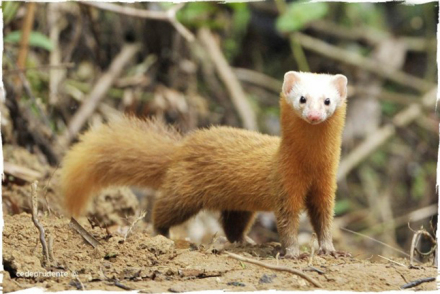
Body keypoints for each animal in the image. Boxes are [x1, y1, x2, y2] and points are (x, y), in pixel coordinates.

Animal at [61, 71, 348, 258]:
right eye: (302, 98)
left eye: (327, 100)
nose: (314, 115)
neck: (310, 167)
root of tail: (181, 147)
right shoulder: (285, 187)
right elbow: (287, 223)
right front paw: (293, 253)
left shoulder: (326, 186)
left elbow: (323, 220)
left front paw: (331, 250)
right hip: (184, 194)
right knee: (162, 210)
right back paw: (163, 234)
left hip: (238, 205)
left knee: (232, 225)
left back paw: (246, 241)